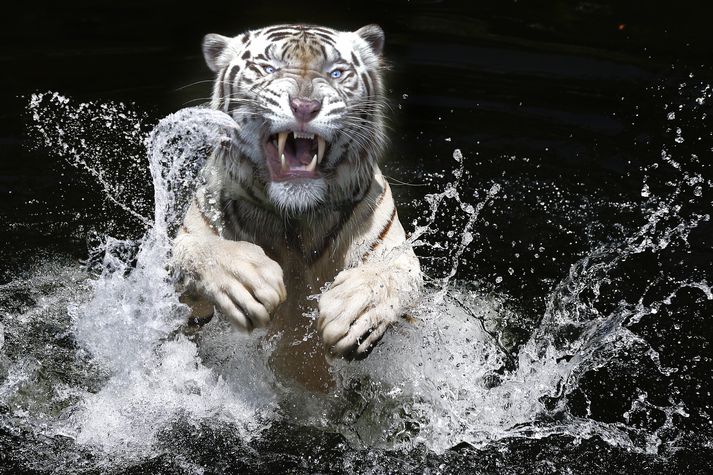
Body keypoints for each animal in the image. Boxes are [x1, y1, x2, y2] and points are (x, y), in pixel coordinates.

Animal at [170, 23, 420, 390]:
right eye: (268, 69)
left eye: (335, 72)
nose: (304, 106)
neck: (295, 220)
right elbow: (195, 251)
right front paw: (244, 278)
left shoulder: (394, 251)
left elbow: (390, 275)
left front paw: (353, 310)